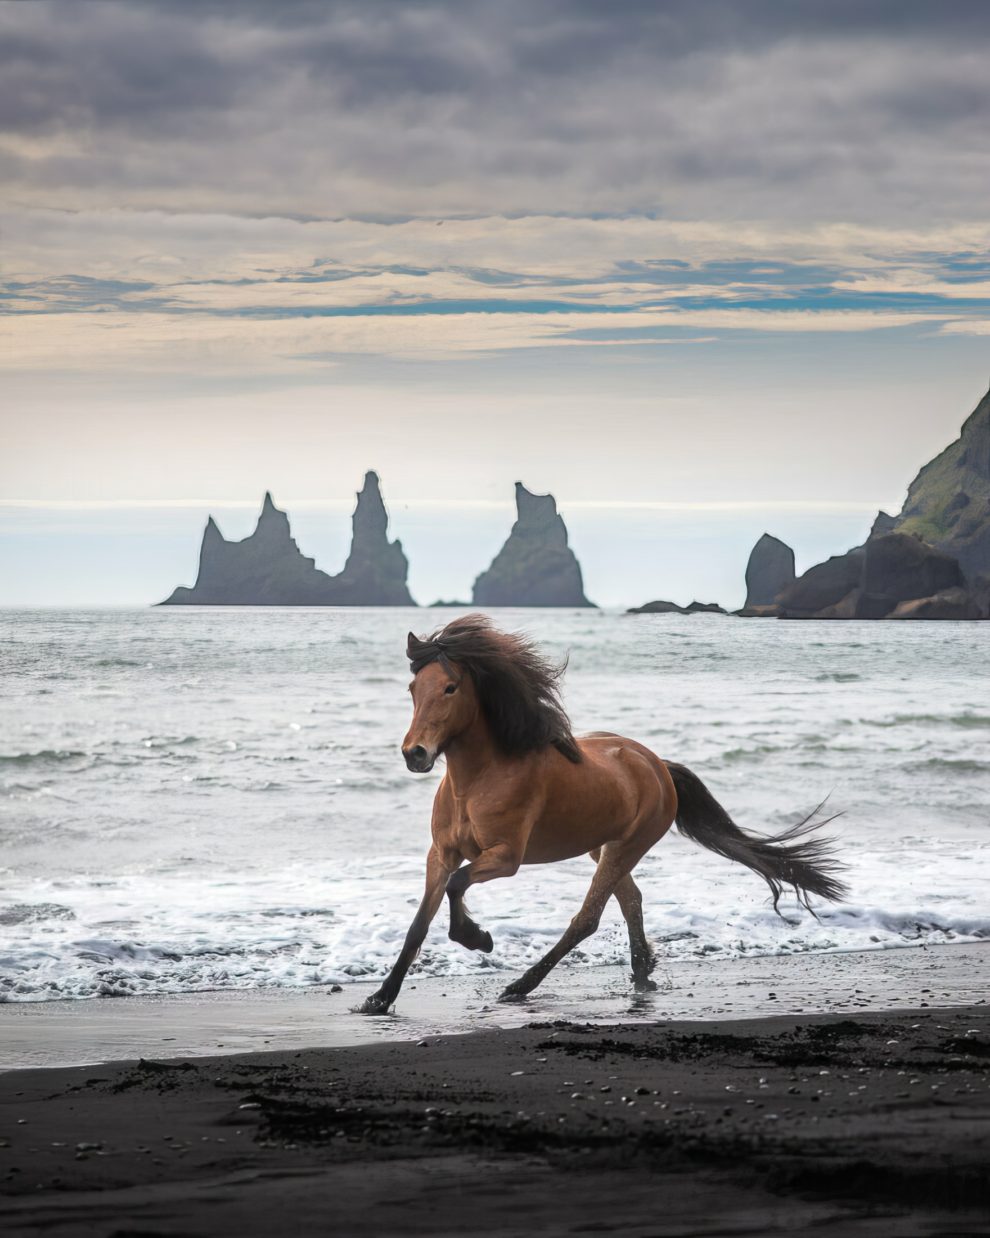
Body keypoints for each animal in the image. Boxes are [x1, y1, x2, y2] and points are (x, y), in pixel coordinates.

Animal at [358, 614, 846, 1010]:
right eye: (412, 688)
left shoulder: (506, 857)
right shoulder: (440, 854)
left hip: (628, 845)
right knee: (630, 901)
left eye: (450, 687)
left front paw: (479, 939)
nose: (415, 754)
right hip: (604, 847)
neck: (478, 780)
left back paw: (520, 987)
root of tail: (657, 764)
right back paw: (642, 972)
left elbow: (457, 887)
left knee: (587, 919)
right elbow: (419, 923)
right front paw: (380, 998)